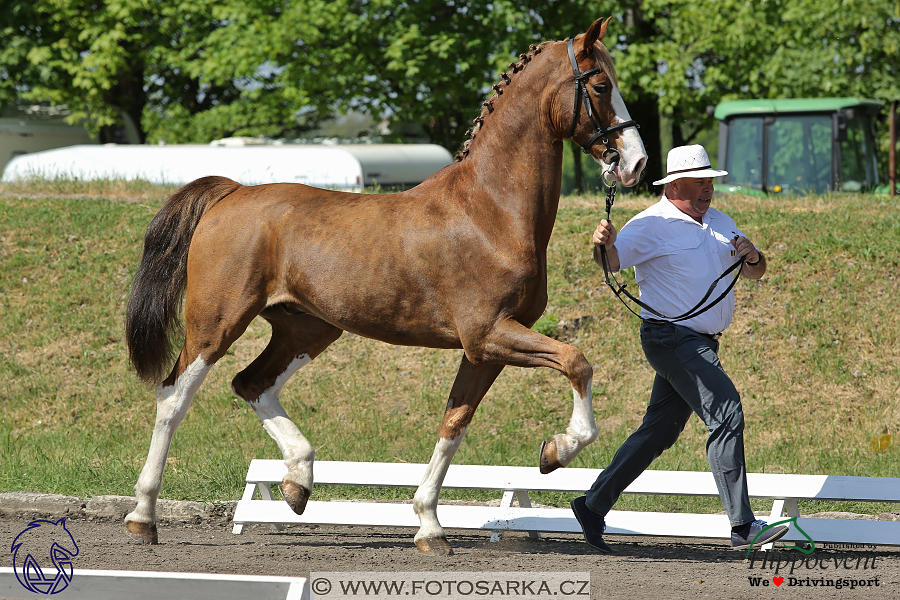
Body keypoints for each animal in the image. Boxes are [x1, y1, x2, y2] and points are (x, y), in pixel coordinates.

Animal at [125, 16, 648, 556]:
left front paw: (429, 525)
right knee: (173, 398)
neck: (491, 211)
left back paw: (298, 482)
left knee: (251, 383)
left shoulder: (485, 350)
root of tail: (231, 193)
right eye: (601, 85)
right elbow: (576, 362)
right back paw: (143, 516)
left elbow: (454, 424)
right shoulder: (489, 334)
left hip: (307, 329)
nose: (635, 164)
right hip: (217, 324)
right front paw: (556, 451)